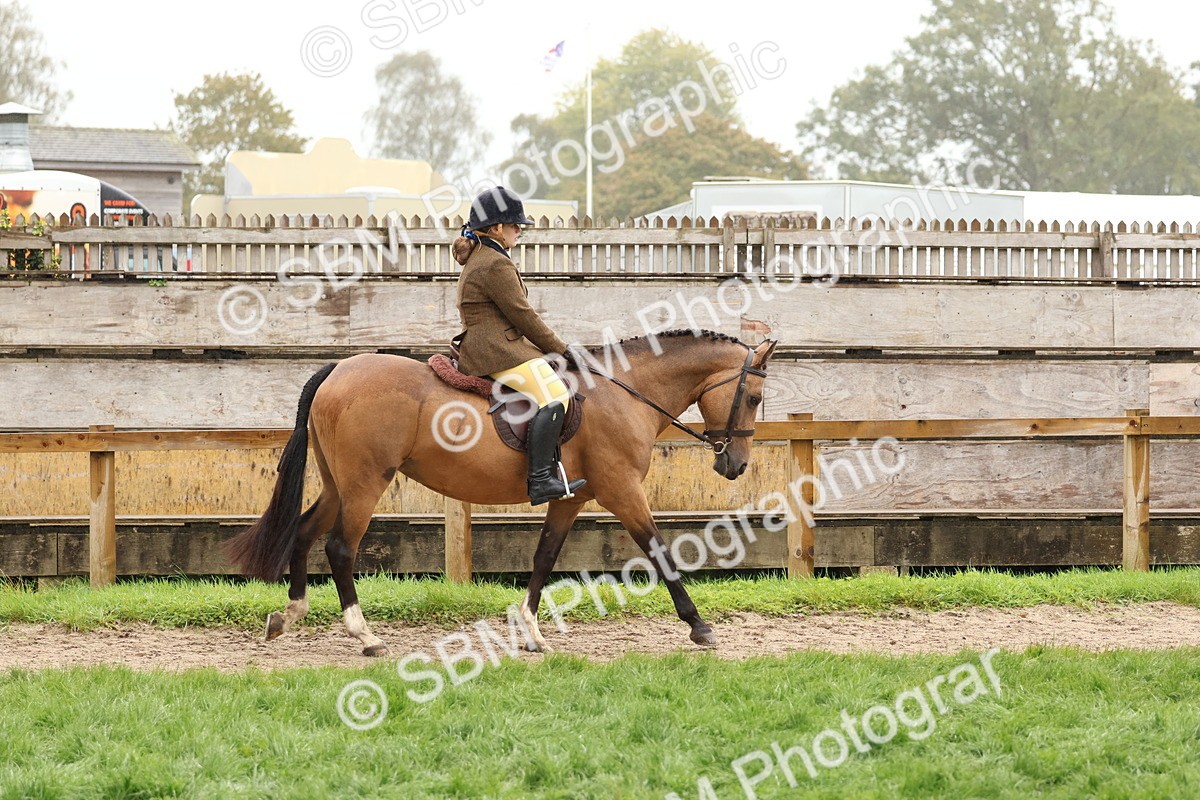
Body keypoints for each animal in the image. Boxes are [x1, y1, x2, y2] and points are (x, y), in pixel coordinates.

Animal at [225, 330, 778, 656]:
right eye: (754, 397)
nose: (735, 464)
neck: (622, 393)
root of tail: (339, 368)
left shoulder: (570, 499)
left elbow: (544, 556)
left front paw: (531, 631)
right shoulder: (622, 491)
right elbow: (660, 552)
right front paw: (699, 627)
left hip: (339, 483)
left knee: (304, 532)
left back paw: (289, 615)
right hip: (365, 483)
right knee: (341, 547)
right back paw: (365, 636)